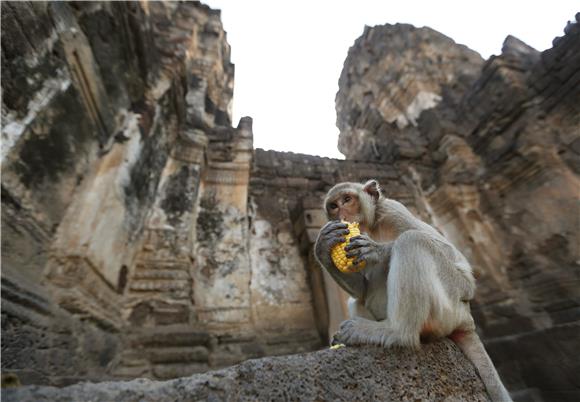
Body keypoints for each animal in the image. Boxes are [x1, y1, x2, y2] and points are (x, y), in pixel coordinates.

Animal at [314, 180, 510, 402]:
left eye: (347, 199)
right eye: (333, 206)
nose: (341, 214)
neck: (370, 227)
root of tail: (467, 320)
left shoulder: (393, 211)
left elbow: (453, 258)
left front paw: (378, 250)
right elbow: (361, 290)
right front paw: (323, 245)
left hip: (449, 307)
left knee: (412, 240)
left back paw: (395, 331)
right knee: (357, 300)